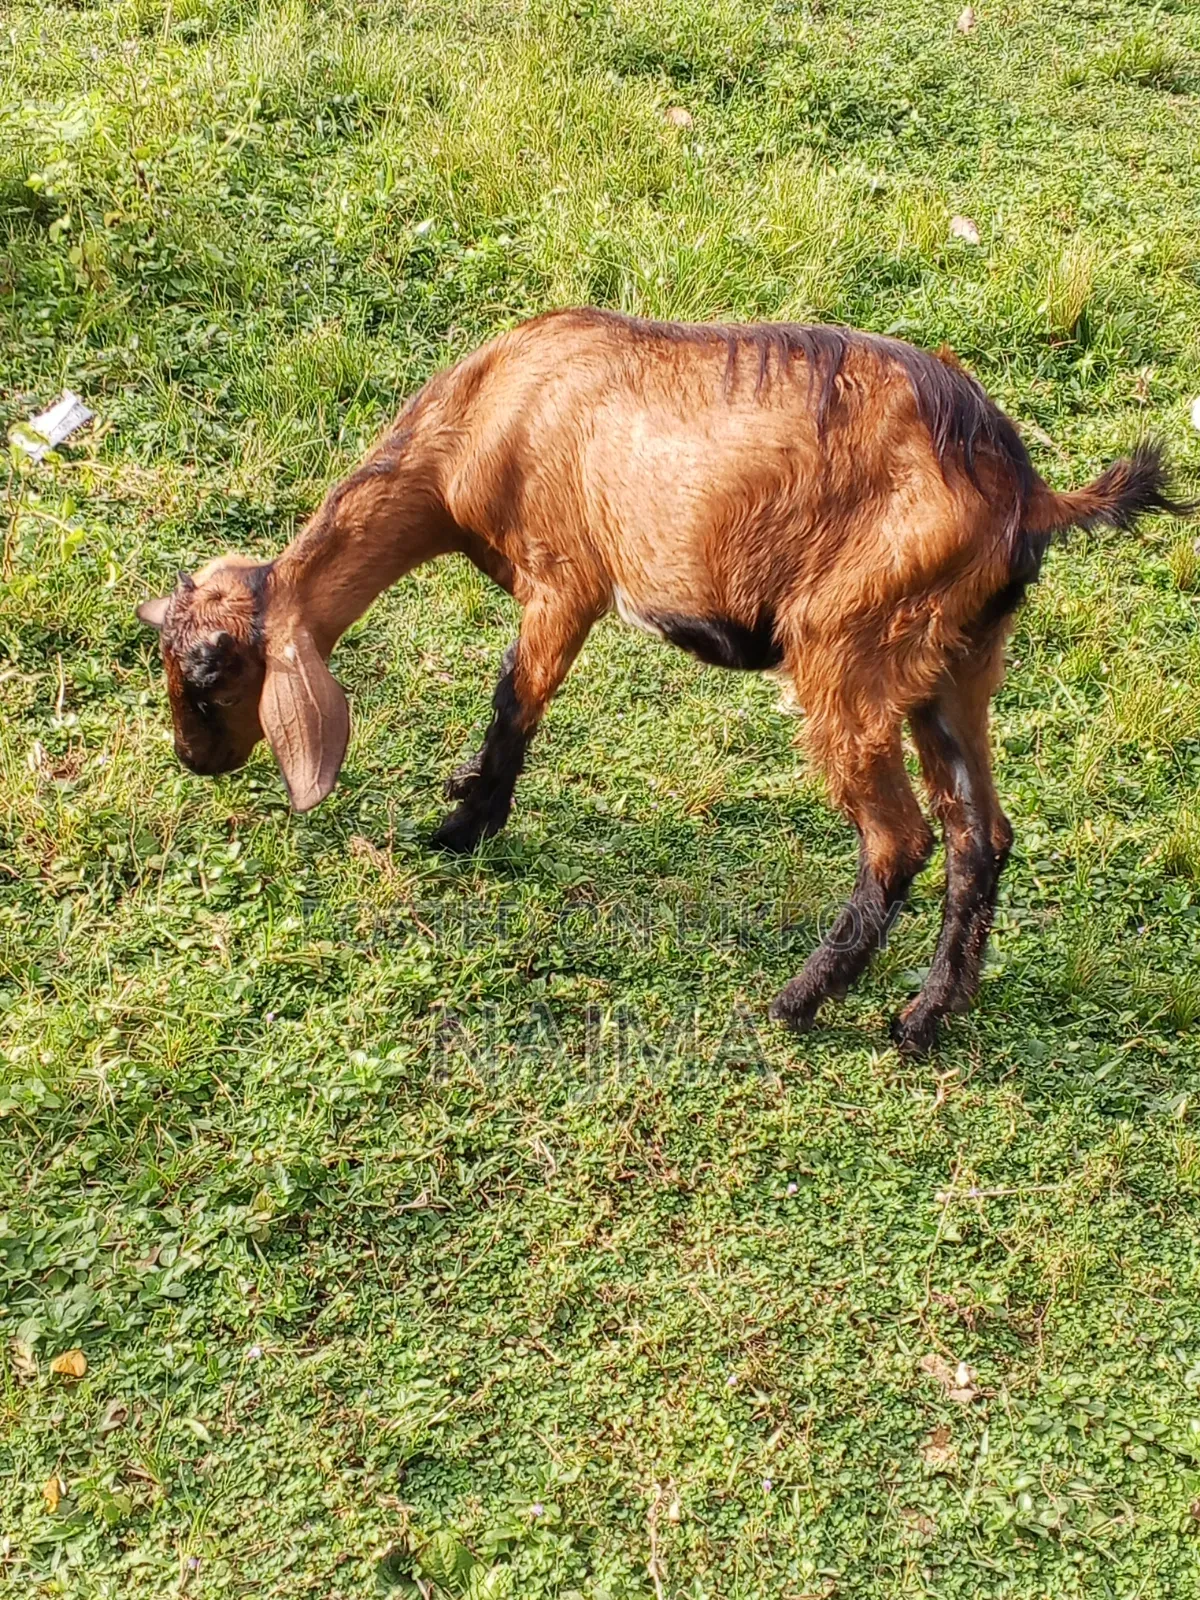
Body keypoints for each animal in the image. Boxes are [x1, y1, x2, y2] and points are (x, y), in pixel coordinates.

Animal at [136, 308, 1190, 1053]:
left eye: (211, 677)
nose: (191, 760)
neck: (479, 419)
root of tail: (1021, 490)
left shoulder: (565, 580)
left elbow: (515, 702)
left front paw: (462, 827)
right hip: (957, 663)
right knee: (982, 835)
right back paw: (926, 1019)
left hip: (848, 645)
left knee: (901, 839)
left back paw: (799, 1001)